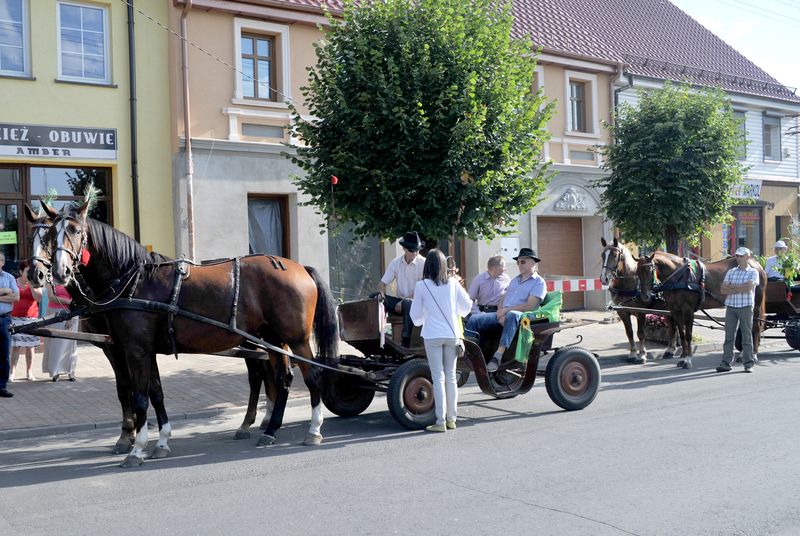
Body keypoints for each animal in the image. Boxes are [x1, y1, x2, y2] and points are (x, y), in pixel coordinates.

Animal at [42, 202, 336, 468]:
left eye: (76, 230)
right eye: (50, 234)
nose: (58, 272)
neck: (134, 281)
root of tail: (299, 267)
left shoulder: (135, 350)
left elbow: (140, 398)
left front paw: (136, 449)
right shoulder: (146, 350)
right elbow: (156, 394)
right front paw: (161, 442)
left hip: (296, 339)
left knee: (312, 376)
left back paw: (313, 429)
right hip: (273, 339)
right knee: (282, 379)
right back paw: (271, 429)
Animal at [636, 251, 764, 368]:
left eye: (650, 271)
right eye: (637, 272)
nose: (645, 296)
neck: (679, 277)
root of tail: (756, 263)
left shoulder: (688, 310)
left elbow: (688, 335)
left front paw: (688, 360)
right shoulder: (675, 310)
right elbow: (682, 334)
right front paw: (682, 358)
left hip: (755, 306)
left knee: (755, 328)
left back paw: (754, 355)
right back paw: (743, 355)